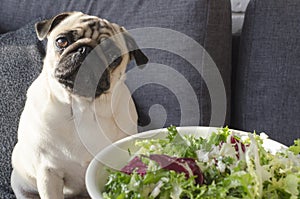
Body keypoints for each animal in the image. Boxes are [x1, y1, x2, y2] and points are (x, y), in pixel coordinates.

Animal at [10, 11, 149, 198]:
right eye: (61, 41)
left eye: (113, 56)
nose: (86, 50)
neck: (82, 106)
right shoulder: (48, 173)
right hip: (20, 183)